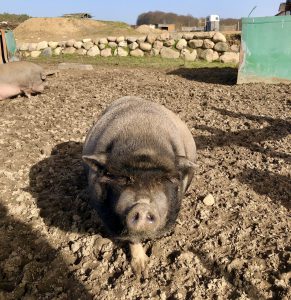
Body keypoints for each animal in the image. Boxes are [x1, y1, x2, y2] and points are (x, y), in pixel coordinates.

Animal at [82, 97, 197, 276]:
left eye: (164, 179)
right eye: (122, 178)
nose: (142, 206)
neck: (143, 146)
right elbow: (132, 239)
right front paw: (141, 270)